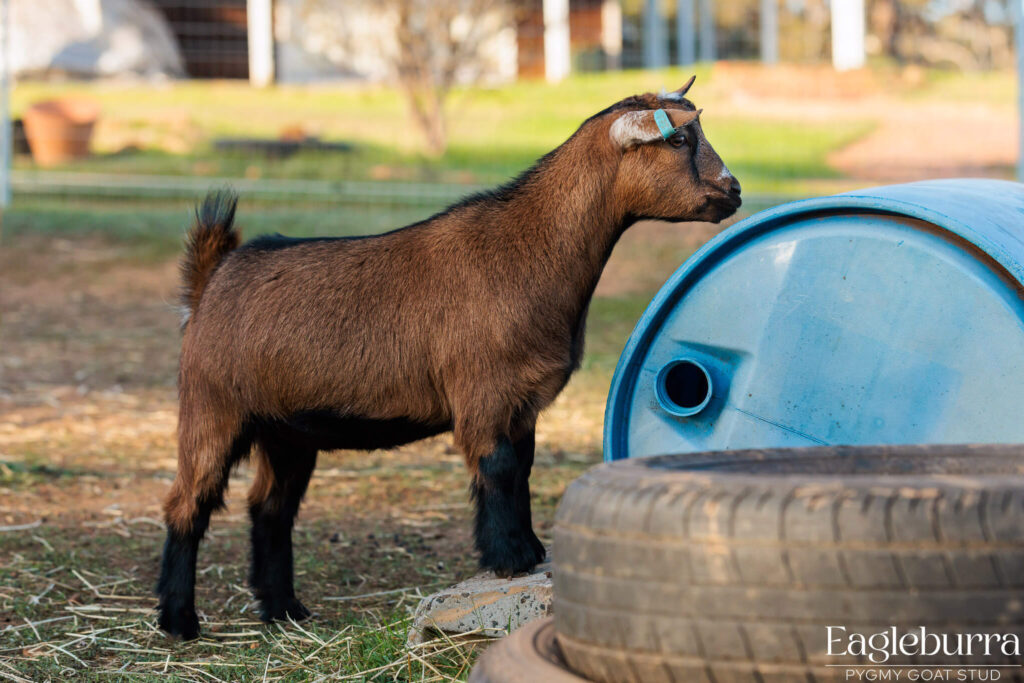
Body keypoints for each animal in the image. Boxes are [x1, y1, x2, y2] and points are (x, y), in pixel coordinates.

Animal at [155, 80, 741, 643]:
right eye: (678, 139)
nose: (733, 191)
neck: (530, 251)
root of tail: (211, 277)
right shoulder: (483, 394)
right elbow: (498, 469)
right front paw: (510, 559)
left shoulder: (520, 404)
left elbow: (520, 469)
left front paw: (528, 549)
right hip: (213, 409)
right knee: (188, 503)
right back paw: (180, 621)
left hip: (287, 432)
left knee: (270, 508)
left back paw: (284, 611)